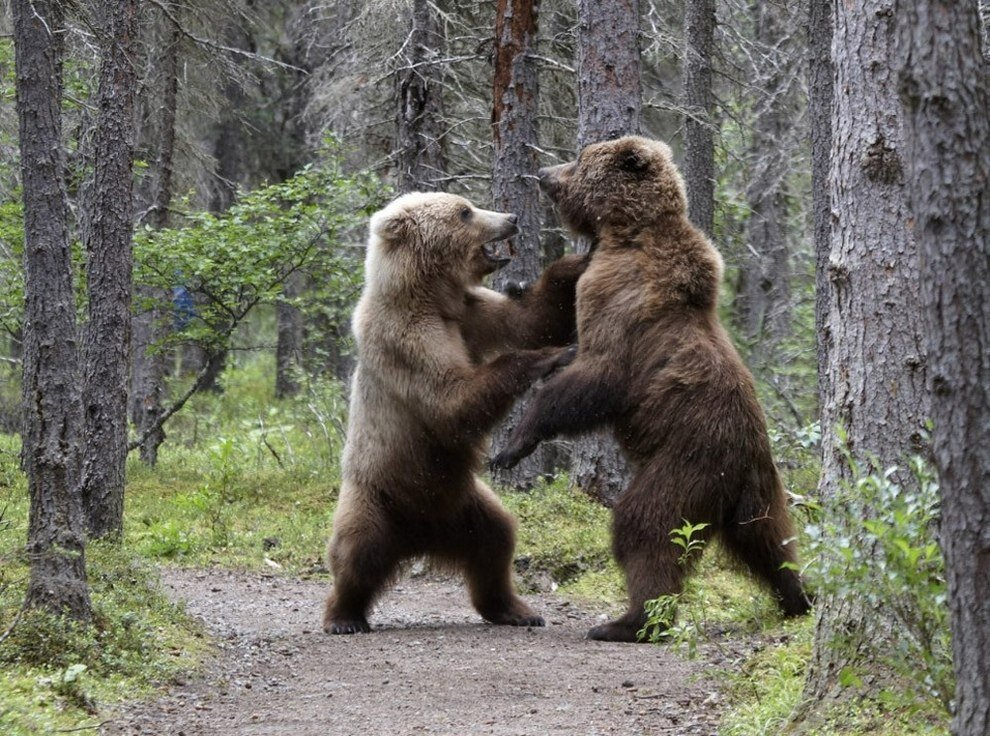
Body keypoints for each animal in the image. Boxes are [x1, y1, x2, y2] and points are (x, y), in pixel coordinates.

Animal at [326, 190, 588, 632]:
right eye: (465, 212)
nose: (511, 217)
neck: (429, 295)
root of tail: (419, 538)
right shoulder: (408, 340)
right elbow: (452, 402)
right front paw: (551, 357)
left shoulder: (469, 313)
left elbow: (530, 321)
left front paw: (578, 261)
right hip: (376, 496)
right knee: (357, 551)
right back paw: (343, 615)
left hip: (465, 506)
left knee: (496, 543)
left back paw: (516, 610)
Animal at [496, 138, 812, 644]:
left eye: (580, 159)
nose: (543, 172)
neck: (624, 233)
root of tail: (743, 463)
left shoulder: (620, 300)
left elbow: (595, 377)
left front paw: (513, 444)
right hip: (761, 491)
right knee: (770, 543)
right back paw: (797, 597)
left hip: (685, 464)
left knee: (646, 526)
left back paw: (630, 620)